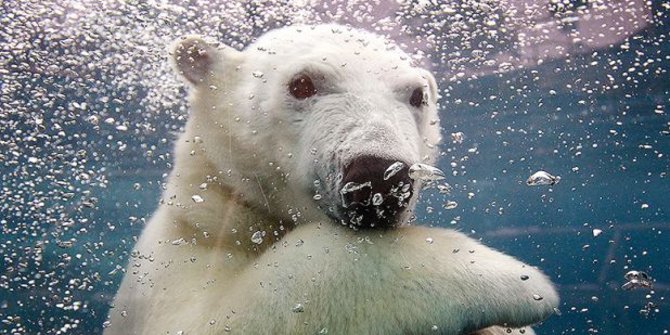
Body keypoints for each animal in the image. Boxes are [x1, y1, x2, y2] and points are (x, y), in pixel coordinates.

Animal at [107, 25, 560, 335]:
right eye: (302, 83)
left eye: (418, 95)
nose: (378, 176)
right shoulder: (177, 256)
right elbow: (223, 315)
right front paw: (511, 279)